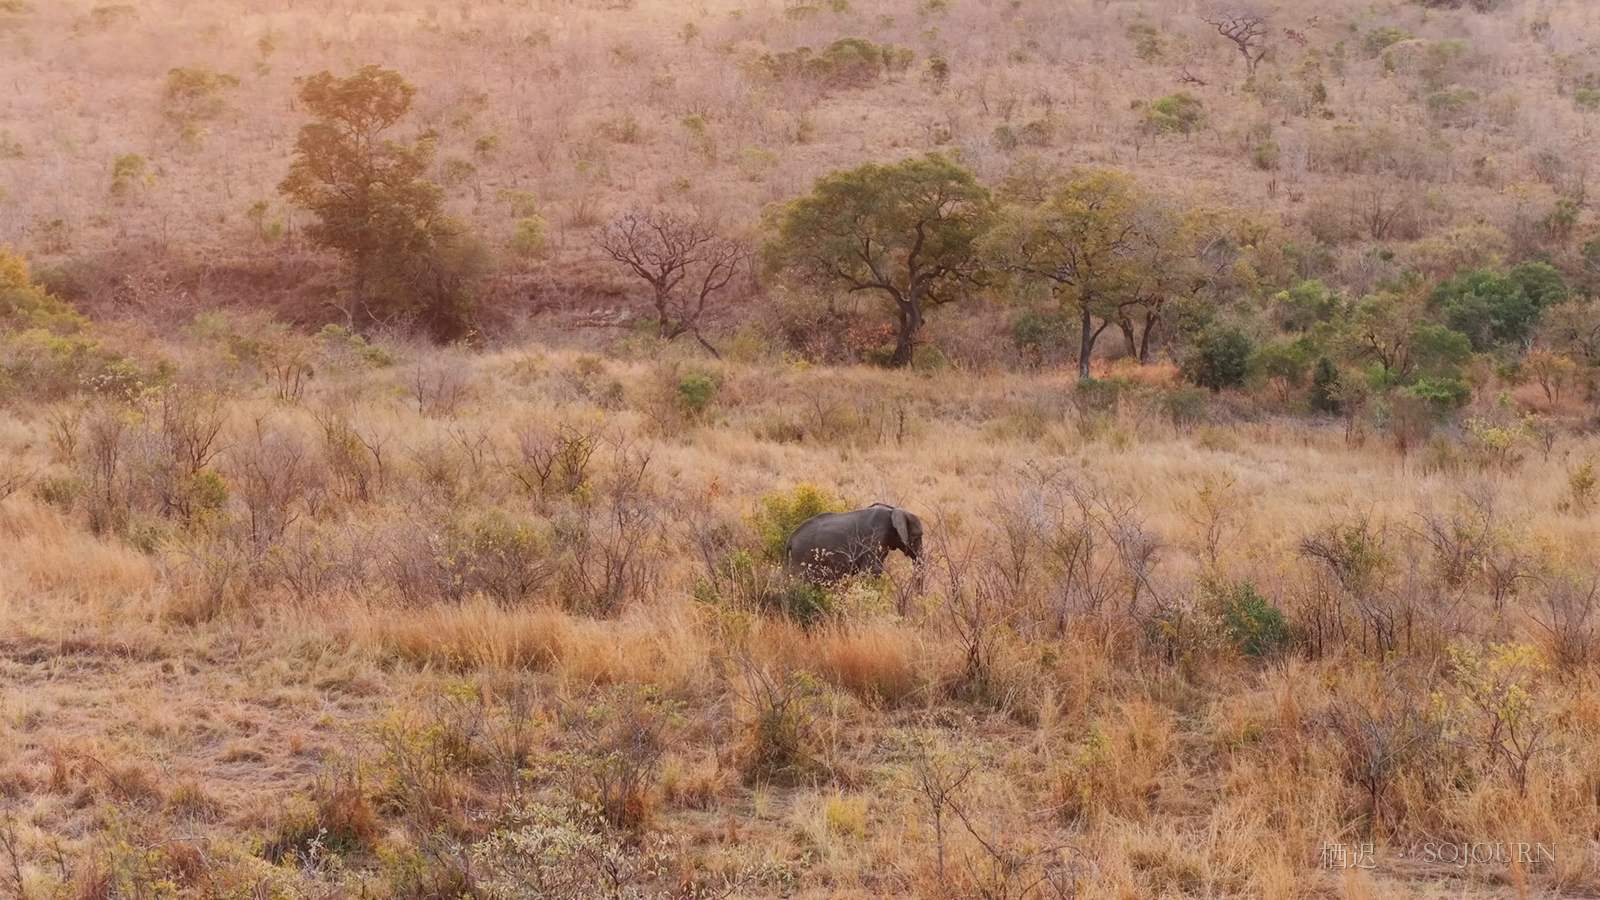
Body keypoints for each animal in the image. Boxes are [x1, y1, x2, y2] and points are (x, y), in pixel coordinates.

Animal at [784, 503, 924, 583]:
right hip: (802, 555)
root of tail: (790, 539)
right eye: (917, 537)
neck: (893, 511)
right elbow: (872, 571)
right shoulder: (875, 539)